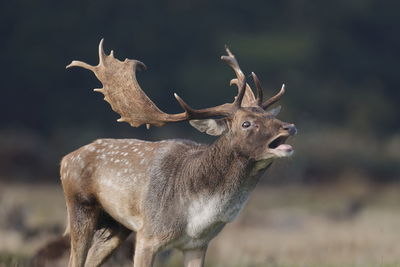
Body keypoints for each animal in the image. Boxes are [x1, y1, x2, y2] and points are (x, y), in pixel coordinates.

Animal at [61, 39, 296, 267]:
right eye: (246, 123)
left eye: (269, 115)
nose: (289, 127)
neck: (195, 219)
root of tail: (65, 159)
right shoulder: (148, 235)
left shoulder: (197, 245)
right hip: (80, 207)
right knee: (73, 259)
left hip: (116, 226)